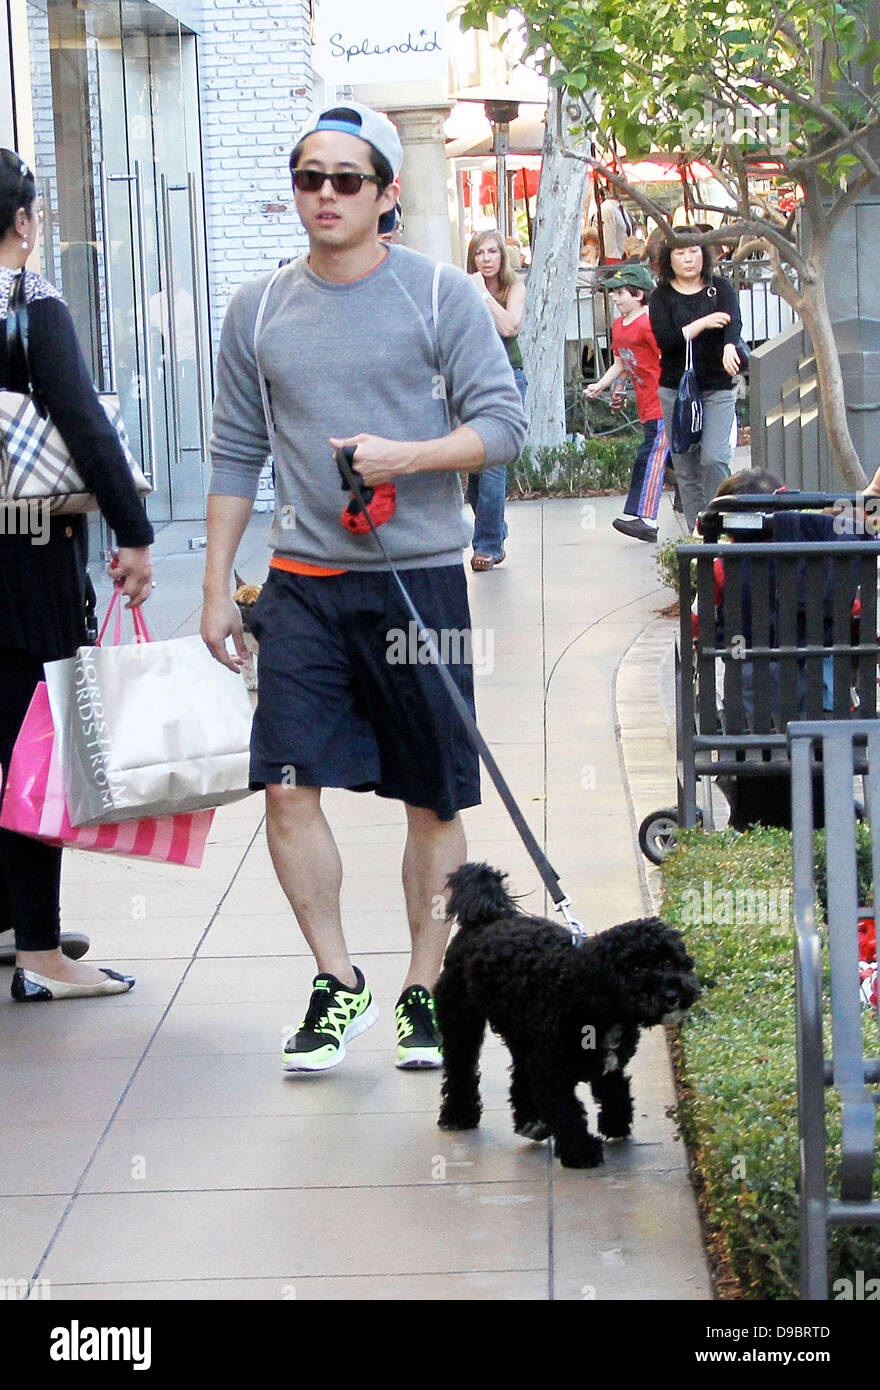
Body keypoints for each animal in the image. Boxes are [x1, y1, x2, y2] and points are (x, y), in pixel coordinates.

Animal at [433, 861, 700, 1167]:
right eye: (634, 969)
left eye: (667, 961)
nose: (672, 994)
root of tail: (484, 919)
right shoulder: (552, 1072)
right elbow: (566, 1111)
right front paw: (581, 1151)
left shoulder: (603, 1063)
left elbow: (615, 1089)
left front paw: (615, 1121)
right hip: (461, 1021)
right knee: (460, 1068)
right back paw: (458, 1114)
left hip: (520, 1033)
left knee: (520, 1075)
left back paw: (529, 1120)